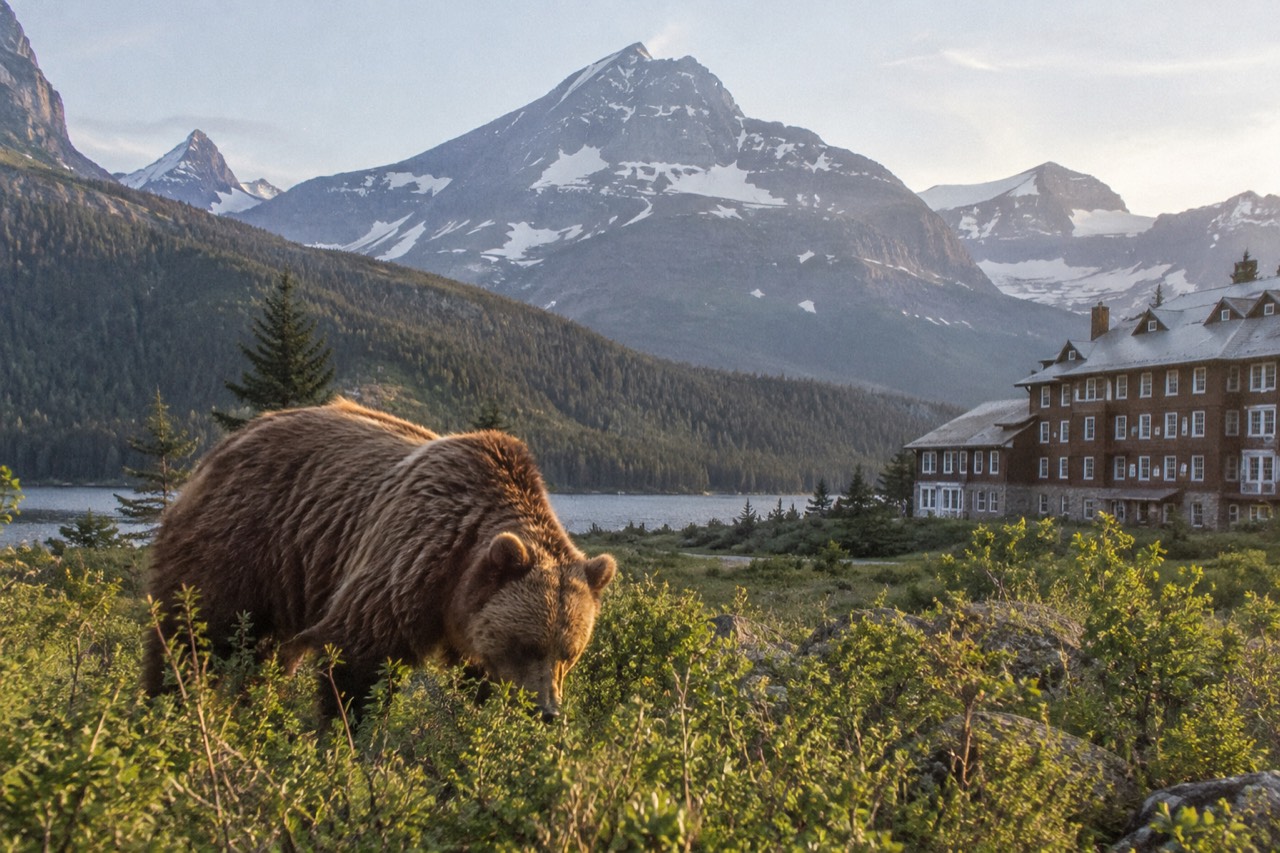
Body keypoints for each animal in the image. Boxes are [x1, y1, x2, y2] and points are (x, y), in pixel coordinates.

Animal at [143, 398, 616, 721]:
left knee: (266, 653)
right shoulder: (408, 557)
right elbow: (359, 657)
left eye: (570, 653)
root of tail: (227, 443)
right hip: (240, 542)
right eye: (527, 644)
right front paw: (346, 737)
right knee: (195, 630)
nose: (547, 712)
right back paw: (166, 705)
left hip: (283, 580)